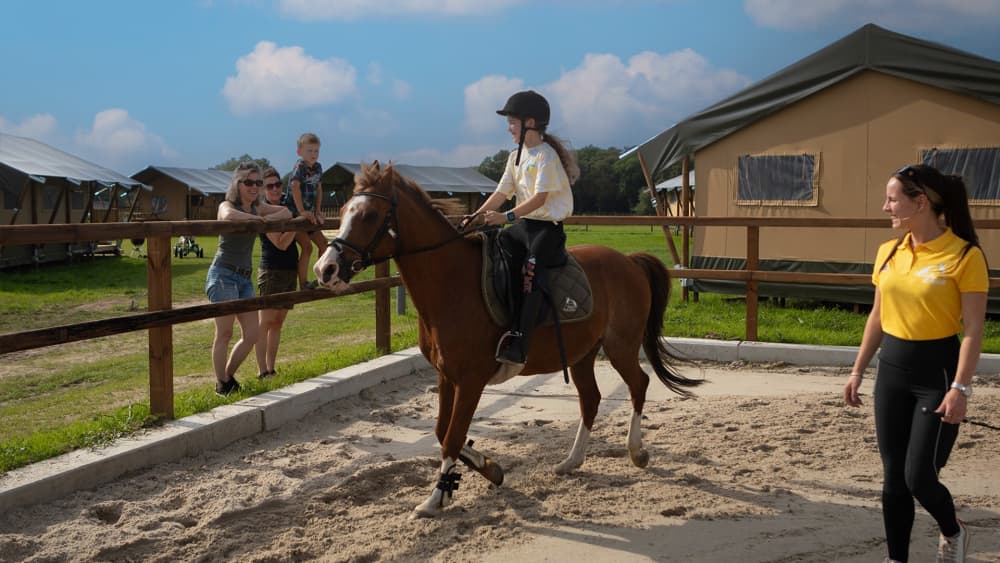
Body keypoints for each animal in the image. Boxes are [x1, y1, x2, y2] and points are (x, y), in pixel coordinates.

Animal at [316, 161, 700, 516]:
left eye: (369, 215)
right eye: (345, 211)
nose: (325, 269)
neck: (452, 283)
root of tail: (630, 262)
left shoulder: (470, 381)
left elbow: (452, 437)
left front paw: (436, 498)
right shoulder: (446, 376)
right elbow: (442, 432)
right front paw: (489, 468)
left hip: (621, 346)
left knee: (639, 385)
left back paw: (637, 452)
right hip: (583, 354)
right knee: (591, 399)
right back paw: (570, 462)